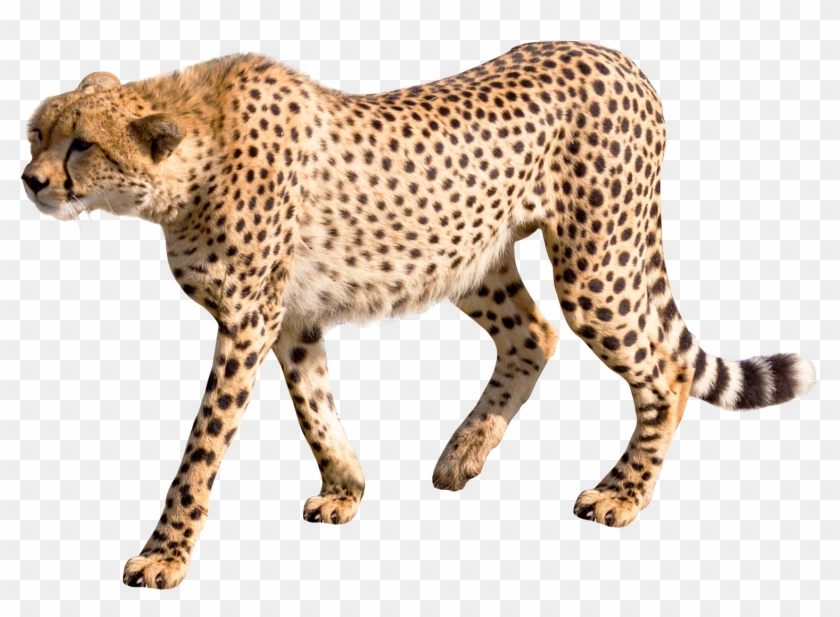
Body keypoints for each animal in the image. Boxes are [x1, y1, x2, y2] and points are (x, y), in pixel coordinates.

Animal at [22, 41, 817, 589]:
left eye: (81, 145)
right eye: (35, 134)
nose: (30, 180)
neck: (189, 155)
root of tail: (617, 58)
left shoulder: (247, 320)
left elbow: (201, 446)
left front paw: (164, 555)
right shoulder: (291, 319)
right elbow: (314, 405)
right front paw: (345, 488)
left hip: (597, 262)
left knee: (666, 374)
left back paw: (622, 494)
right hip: (469, 256)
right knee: (533, 335)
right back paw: (464, 452)